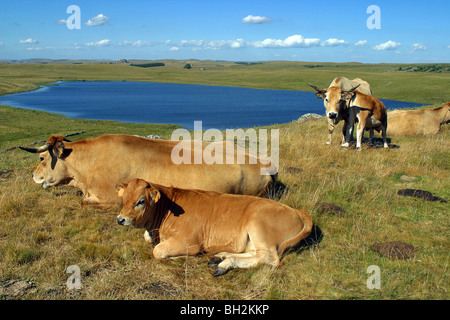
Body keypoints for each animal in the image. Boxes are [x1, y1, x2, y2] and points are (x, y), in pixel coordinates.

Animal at [116, 179, 312, 276]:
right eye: (123, 199)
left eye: (141, 201)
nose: (120, 219)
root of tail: (296, 210)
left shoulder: (188, 241)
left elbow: (158, 251)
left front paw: (183, 257)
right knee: (255, 254)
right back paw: (221, 258)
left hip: (259, 225)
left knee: (269, 258)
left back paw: (225, 263)